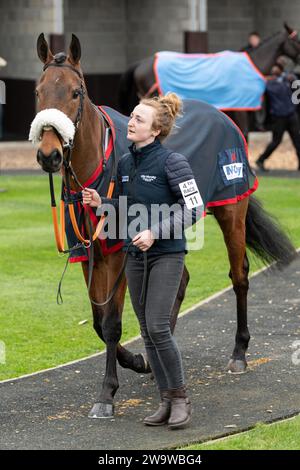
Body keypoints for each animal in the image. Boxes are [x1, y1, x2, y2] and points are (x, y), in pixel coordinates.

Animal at [32, 33, 296, 418]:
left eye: (75, 92)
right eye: (38, 91)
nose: (49, 154)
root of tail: (221, 116)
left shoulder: (118, 253)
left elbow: (111, 323)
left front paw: (107, 393)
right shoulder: (87, 252)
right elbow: (97, 320)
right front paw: (137, 360)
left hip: (232, 210)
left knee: (239, 276)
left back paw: (239, 352)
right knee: (180, 280)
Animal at [118, 23, 300, 138]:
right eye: (296, 40)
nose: (283, 67)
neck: (251, 65)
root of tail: (142, 63)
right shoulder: (240, 109)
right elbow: (244, 132)